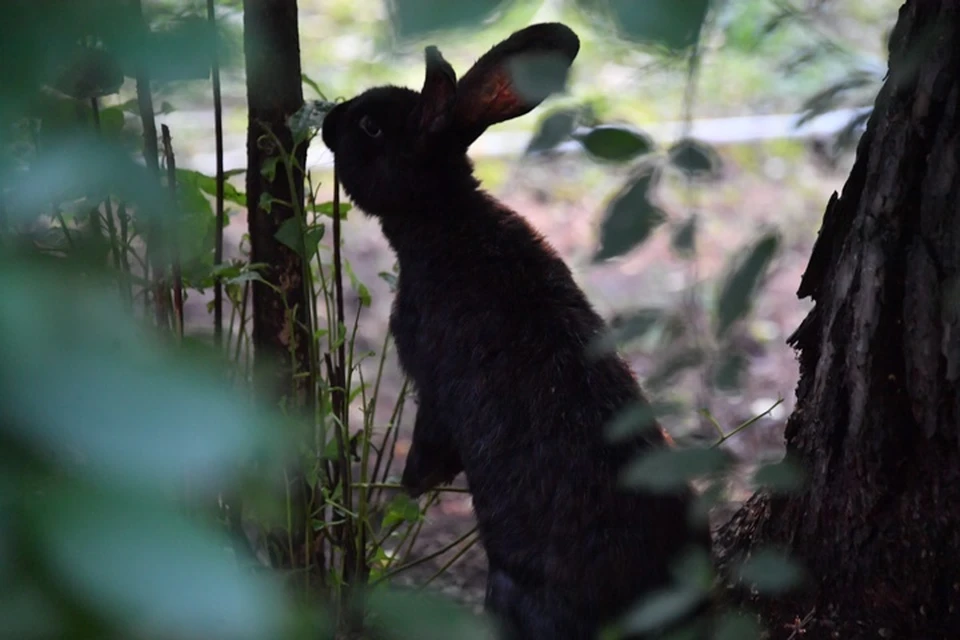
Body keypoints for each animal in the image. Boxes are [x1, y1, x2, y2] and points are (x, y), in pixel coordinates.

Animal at [326, 22, 708, 636]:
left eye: (370, 126)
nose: (328, 119)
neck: (446, 216)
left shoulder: (432, 386)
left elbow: (431, 442)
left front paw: (409, 486)